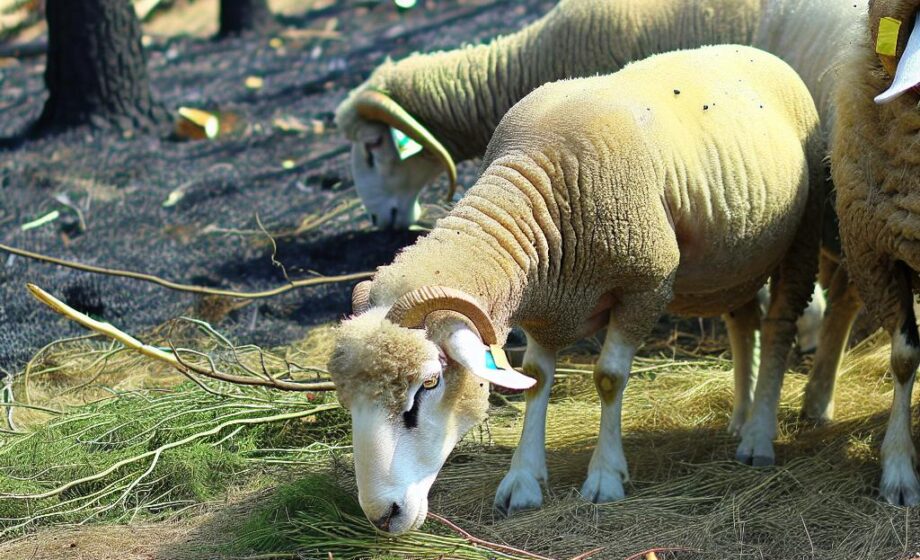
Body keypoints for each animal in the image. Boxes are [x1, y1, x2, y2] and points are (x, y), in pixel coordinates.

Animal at [327, 44, 824, 534]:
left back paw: (759, 437)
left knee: (779, 326)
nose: (384, 515)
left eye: (428, 384)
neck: (535, 190)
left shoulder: (645, 286)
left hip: (800, 239)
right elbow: (535, 379)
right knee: (744, 323)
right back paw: (740, 419)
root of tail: (757, 51)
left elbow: (609, 378)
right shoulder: (549, 307)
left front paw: (605, 477)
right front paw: (523, 480)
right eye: (347, 399)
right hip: (733, 267)